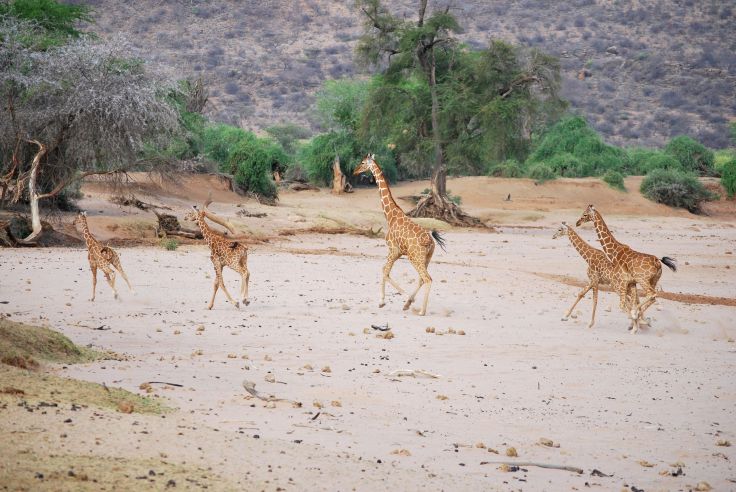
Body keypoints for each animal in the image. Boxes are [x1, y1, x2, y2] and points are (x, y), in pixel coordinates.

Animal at [352, 153, 446, 316]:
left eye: (363, 162)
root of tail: (430, 242)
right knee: (422, 279)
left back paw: (421, 311)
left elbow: (384, 271)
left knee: (427, 278)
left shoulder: (393, 249)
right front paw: (404, 301)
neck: (390, 215)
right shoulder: (398, 252)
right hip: (427, 257)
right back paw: (410, 305)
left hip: (415, 257)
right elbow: (385, 271)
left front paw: (384, 301)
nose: (354, 171)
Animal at [576, 202, 680, 332]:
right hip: (653, 280)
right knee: (652, 296)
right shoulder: (631, 281)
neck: (614, 252)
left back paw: (637, 316)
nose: (577, 223)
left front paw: (636, 321)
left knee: (652, 294)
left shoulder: (625, 279)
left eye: (585, 214)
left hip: (643, 279)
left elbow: (631, 299)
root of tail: (658, 262)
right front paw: (637, 323)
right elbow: (634, 298)